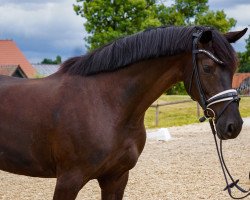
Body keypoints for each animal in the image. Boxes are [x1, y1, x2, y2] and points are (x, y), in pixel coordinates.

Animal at [0, 25, 246, 199]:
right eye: (207, 68)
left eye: (235, 67)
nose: (233, 125)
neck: (106, 104)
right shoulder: (68, 181)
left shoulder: (116, 178)